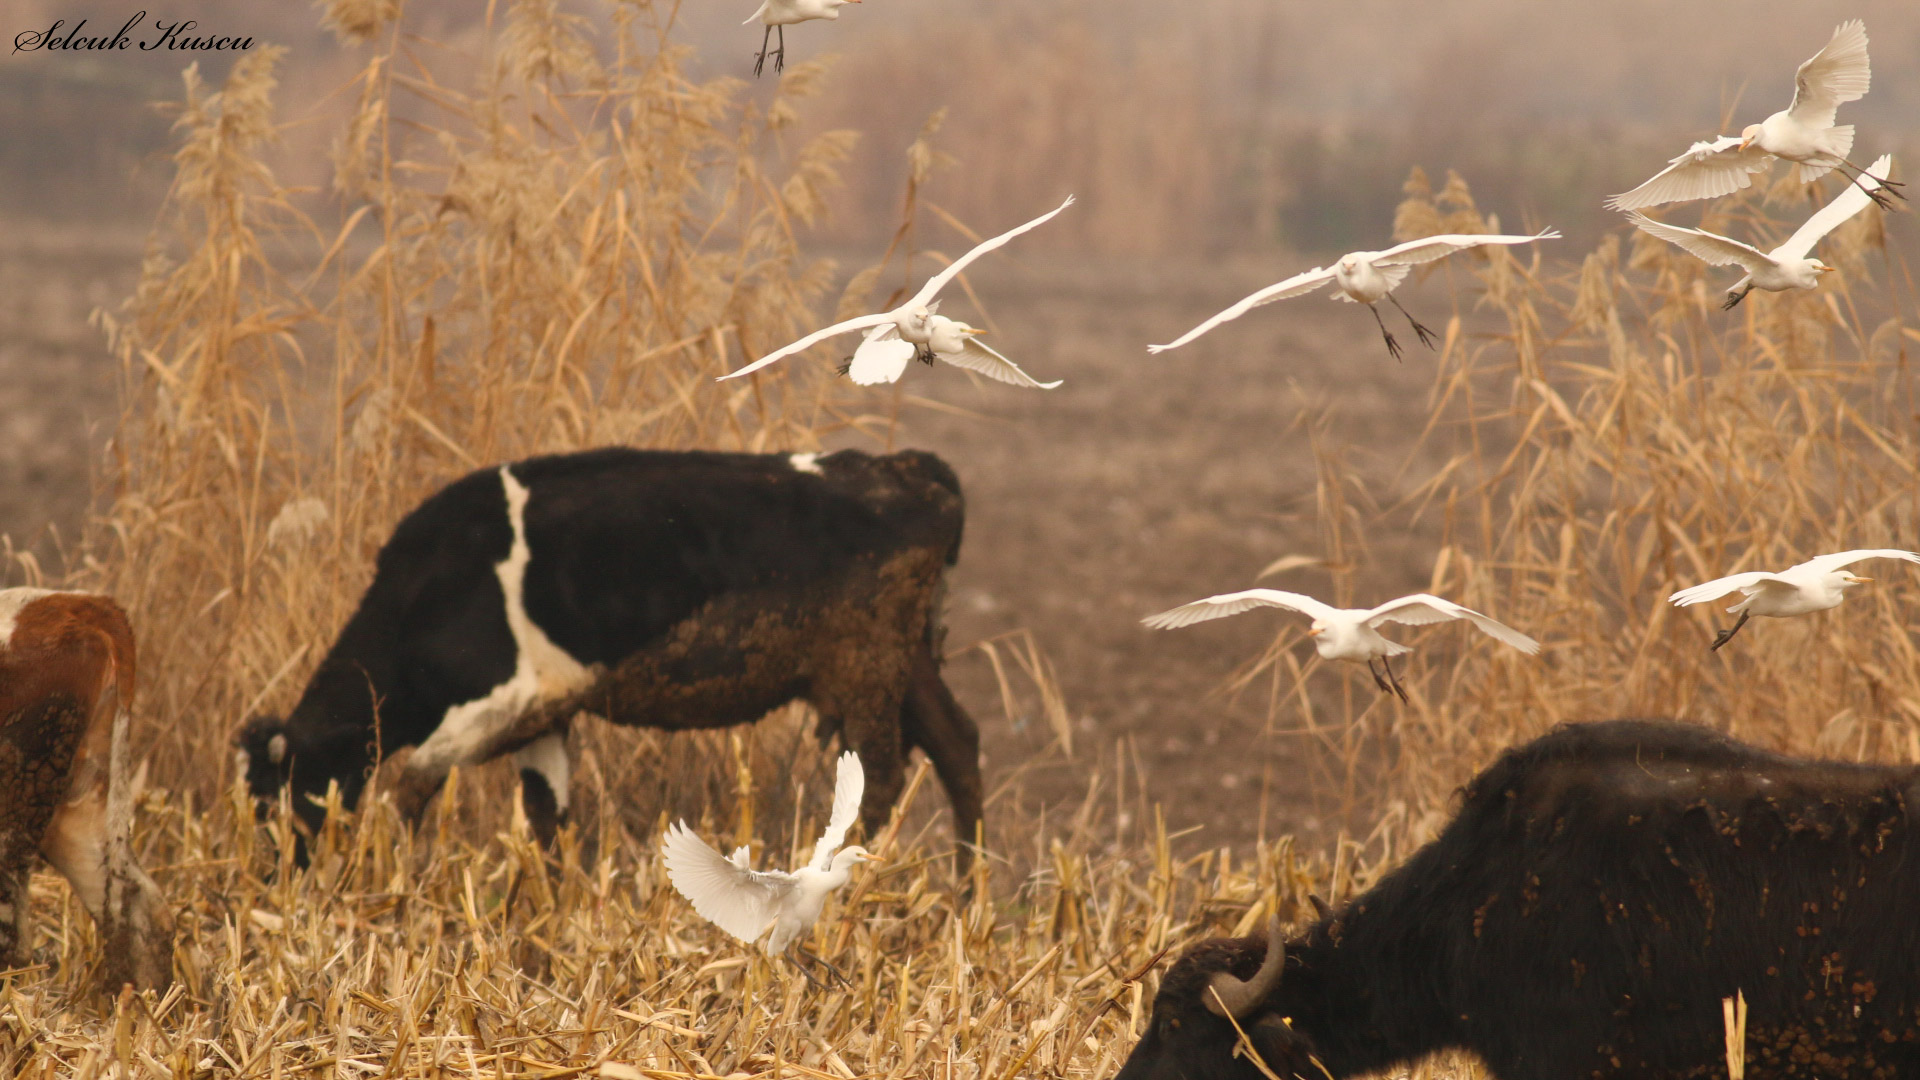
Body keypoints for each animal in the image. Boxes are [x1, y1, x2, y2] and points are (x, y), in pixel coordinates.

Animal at [232, 445, 983, 857]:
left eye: (272, 800)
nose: (277, 874)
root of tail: (905, 467)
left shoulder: (506, 697)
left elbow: (412, 786)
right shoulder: (543, 719)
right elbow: (548, 821)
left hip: (866, 669)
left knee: (881, 779)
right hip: (906, 661)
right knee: (958, 745)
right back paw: (964, 894)